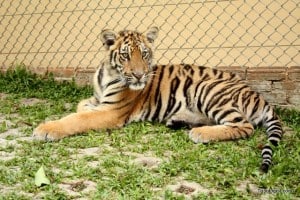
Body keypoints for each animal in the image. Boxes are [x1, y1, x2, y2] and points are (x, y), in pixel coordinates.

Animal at [33, 27, 284, 173]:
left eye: (144, 54)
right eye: (125, 55)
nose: (139, 75)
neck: (108, 75)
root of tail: (258, 95)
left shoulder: (112, 112)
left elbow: (77, 119)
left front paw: (45, 129)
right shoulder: (98, 101)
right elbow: (80, 107)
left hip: (208, 89)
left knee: (244, 126)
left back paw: (200, 133)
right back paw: (178, 121)